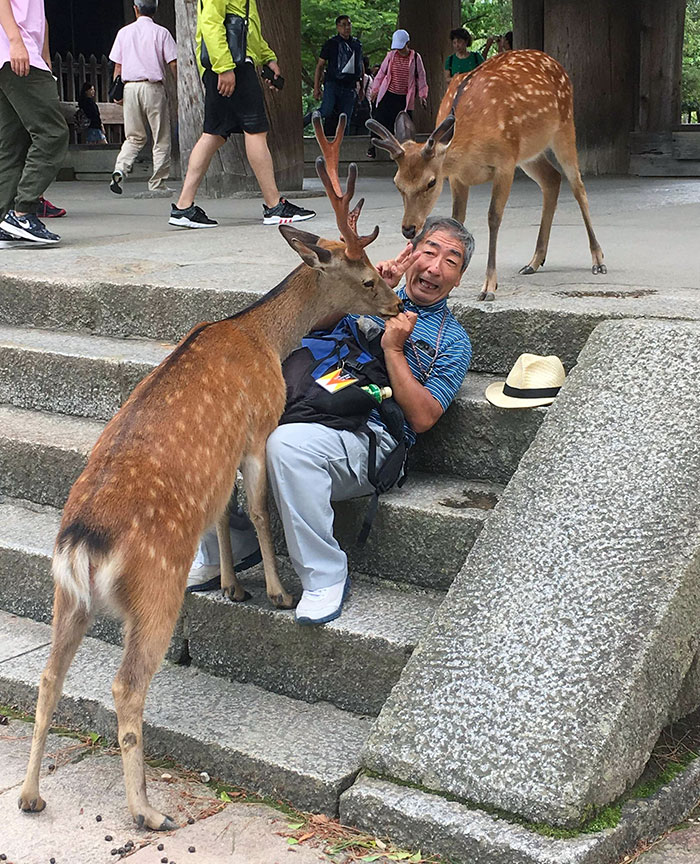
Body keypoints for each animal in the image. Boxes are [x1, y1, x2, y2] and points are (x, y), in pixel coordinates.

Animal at [18, 113, 402, 832]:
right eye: (367, 276)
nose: (395, 307)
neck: (263, 337)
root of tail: (81, 544)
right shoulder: (255, 429)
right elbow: (257, 509)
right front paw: (273, 592)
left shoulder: (221, 457)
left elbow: (223, 512)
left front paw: (231, 585)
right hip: (154, 590)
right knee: (125, 685)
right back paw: (146, 811)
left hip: (65, 595)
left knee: (50, 677)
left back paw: (30, 795)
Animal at [368, 49, 606, 301]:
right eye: (397, 183)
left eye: (431, 182)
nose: (408, 229)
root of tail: (556, 64)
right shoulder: (457, 177)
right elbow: (456, 219)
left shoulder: (505, 162)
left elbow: (493, 217)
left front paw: (489, 286)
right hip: (529, 153)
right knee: (552, 179)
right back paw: (534, 262)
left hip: (564, 127)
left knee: (577, 185)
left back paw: (598, 259)